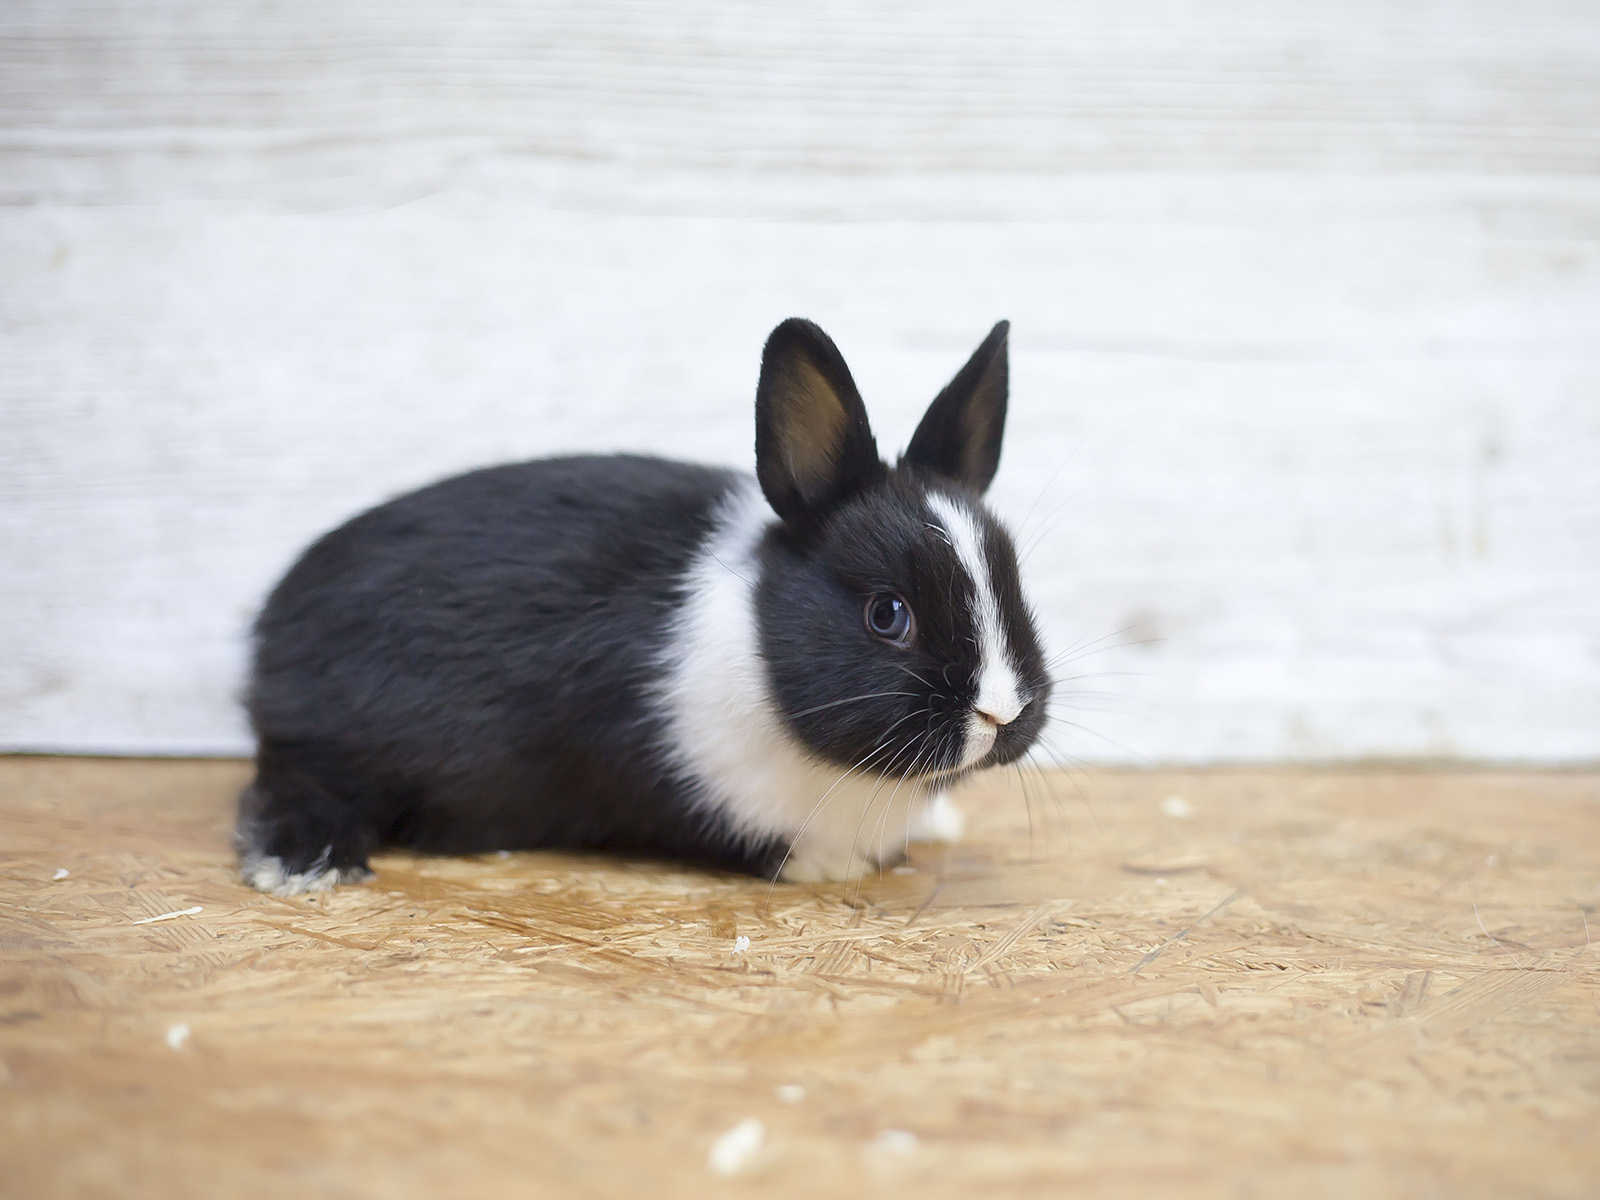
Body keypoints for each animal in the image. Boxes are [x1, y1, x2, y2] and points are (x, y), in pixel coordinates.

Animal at [236, 318, 1051, 895]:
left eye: (1017, 584)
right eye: (888, 614)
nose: (1003, 713)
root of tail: (276, 614)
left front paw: (941, 826)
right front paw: (834, 867)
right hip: (331, 741)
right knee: (287, 782)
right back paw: (305, 864)